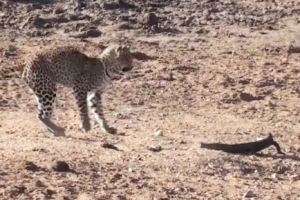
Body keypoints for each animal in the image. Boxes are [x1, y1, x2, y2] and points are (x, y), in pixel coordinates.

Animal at [0, 44, 134, 137]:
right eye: (128, 57)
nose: (132, 67)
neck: (106, 68)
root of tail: (26, 61)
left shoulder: (95, 94)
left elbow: (99, 112)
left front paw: (107, 128)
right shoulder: (79, 88)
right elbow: (83, 109)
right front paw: (86, 126)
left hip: (42, 90)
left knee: (40, 114)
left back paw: (54, 131)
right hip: (48, 90)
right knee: (43, 115)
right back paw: (58, 129)